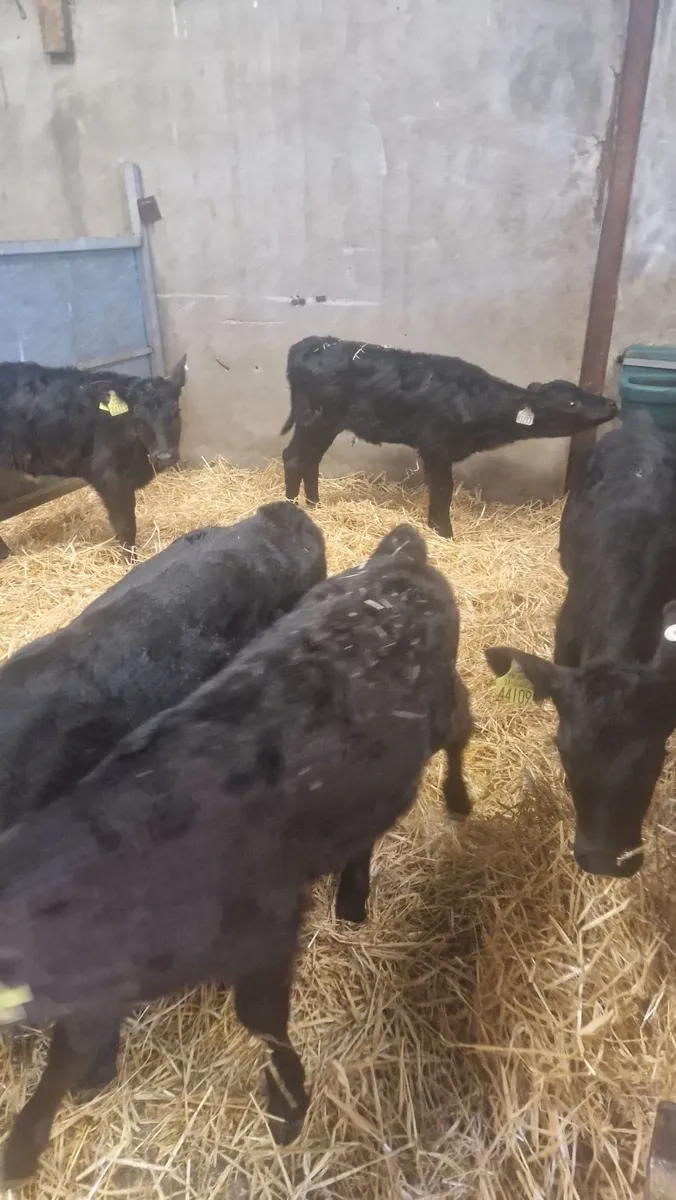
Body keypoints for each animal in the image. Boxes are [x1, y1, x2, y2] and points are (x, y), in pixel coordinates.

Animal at [0, 356, 187, 556]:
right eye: (137, 413)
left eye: (176, 410)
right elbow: (126, 527)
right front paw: (131, 560)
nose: (164, 456)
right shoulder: (109, 478)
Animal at [280, 336, 618, 538]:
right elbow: (443, 490)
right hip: (316, 419)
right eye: (571, 403)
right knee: (294, 457)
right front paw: (444, 532)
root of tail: (313, 343)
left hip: (325, 424)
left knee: (310, 461)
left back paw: (314, 505)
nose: (611, 403)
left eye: (581, 392)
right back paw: (293, 506)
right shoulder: (436, 447)